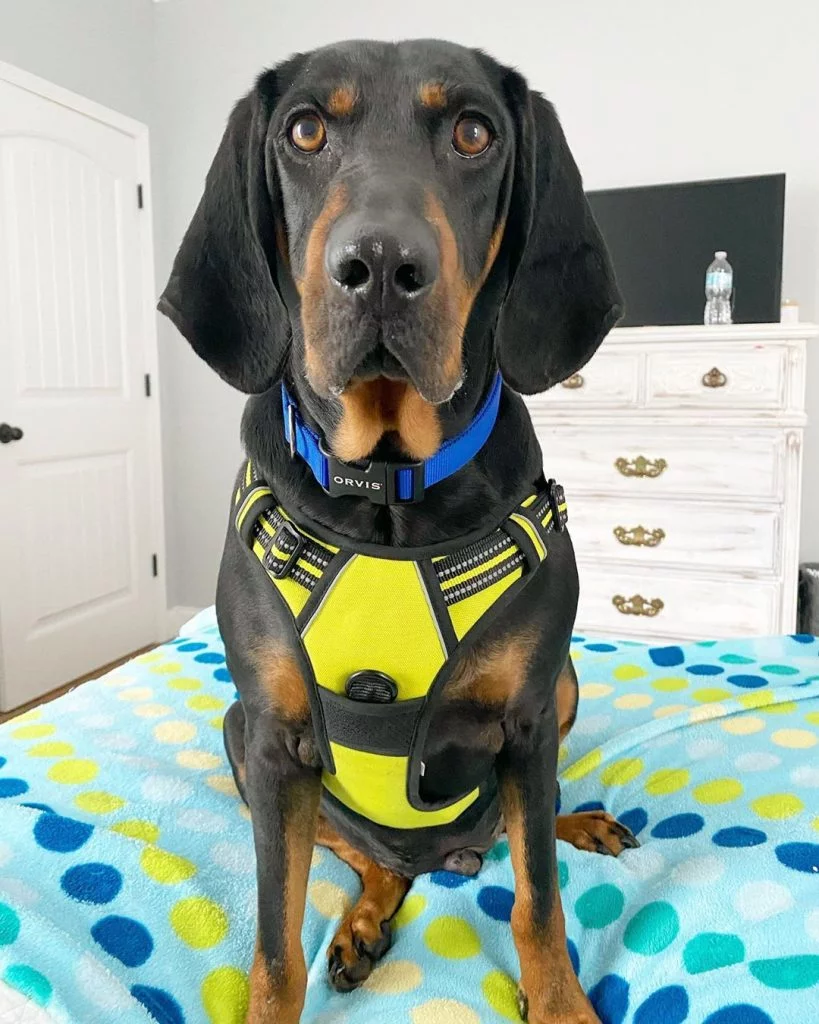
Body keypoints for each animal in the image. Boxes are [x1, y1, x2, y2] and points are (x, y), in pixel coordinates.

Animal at [159, 37, 634, 1024]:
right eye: (304, 130)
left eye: (473, 132)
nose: (379, 263)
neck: (386, 485)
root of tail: (444, 855)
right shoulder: (272, 742)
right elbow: (274, 942)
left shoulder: (528, 716)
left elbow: (537, 901)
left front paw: (559, 999)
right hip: (237, 733)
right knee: (370, 861)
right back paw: (363, 922)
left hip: (560, 686)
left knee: (522, 825)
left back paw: (574, 820)